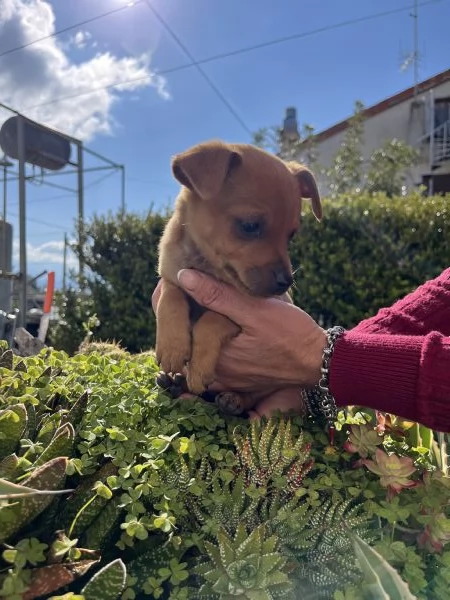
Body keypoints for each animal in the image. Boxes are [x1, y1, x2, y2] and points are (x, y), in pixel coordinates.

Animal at [156, 139, 322, 414]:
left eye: (291, 235)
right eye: (250, 226)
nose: (286, 283)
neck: (206, 267)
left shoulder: (240, 314)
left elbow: (212, 319)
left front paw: (199, 367)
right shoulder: (171, 277)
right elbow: (170, 298)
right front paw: (172, 346)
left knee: (253, 396)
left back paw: (233, 400)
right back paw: (174, 383)